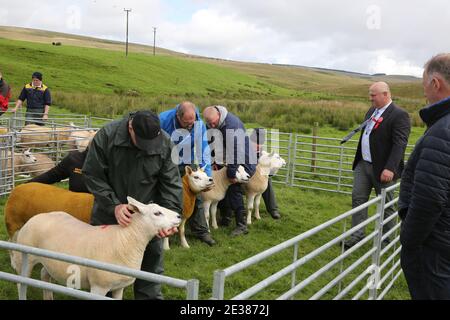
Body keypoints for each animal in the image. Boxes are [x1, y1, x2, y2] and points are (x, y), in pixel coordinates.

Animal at [10, 195, 181, 300]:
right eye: (157, 213)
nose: (179, 216)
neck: (126, 239)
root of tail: (36, 217)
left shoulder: (119, 287)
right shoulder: (99, 286)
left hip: (50, 260)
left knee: (44, 275)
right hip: (24, 258)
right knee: (20, 283)